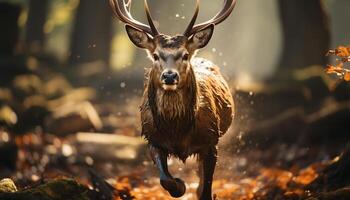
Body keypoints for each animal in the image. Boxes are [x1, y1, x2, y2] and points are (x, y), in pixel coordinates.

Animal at [109, 0, 235, 199]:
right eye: (155, 55)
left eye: (185, 55)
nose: (169, 76)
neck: (177, 130)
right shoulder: (153, 139)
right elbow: (164, 179)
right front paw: (180, 185)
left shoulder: (211, 140)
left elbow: (206, 188)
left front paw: (195, 189)